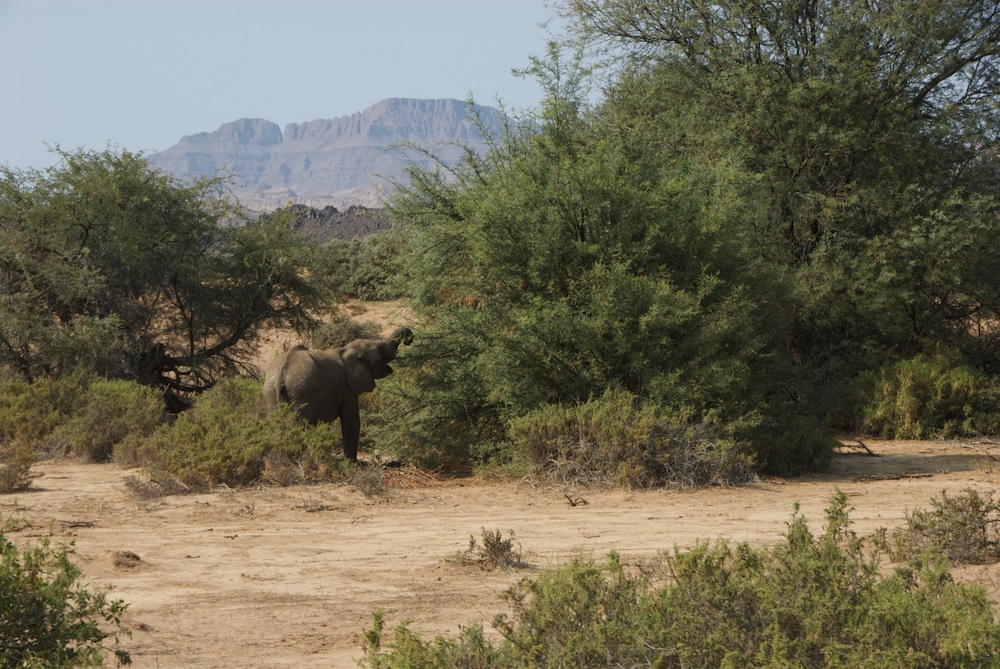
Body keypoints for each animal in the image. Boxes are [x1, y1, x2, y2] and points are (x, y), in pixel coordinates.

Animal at [262, 324, 414, 460]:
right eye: (381, 352)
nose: (409, 340)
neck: (346, 350)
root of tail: (282, 373)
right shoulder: (347, 389)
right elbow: (351, 422)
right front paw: (352, 463)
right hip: (302, 391)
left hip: (270, 392)